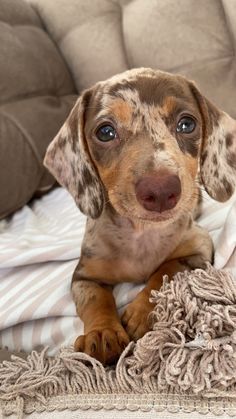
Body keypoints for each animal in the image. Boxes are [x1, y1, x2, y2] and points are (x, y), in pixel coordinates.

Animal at [44, 68, 236, 364]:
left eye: (187, 124)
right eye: (105, 131)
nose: (161, 191)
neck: (141, 233)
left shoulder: (199, 249)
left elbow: (166, 270)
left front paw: (142, 311)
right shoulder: (84, 276)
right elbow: (96, 299)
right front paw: (103, 332)